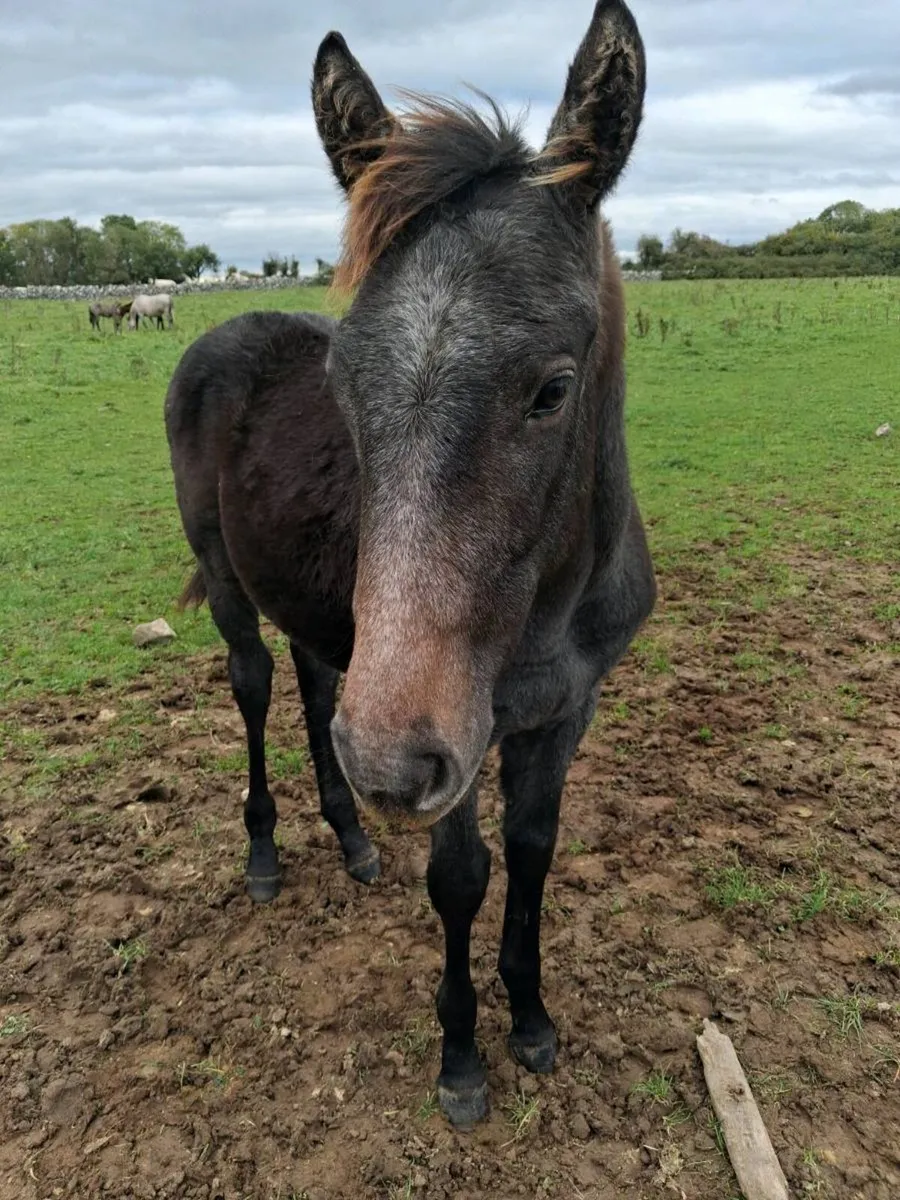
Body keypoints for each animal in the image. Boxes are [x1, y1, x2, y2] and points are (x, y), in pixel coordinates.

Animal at [164, 0, 655, 1127]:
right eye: (344, 381)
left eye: (552, 389)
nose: (392, 766)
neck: (549, 609)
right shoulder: (460, 730)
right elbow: (464, 875)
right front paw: (462, 1058)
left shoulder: (562, 709)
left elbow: (534, 849)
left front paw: (532, 1019)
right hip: (230, 583)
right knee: (254, 684)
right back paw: (267, 853)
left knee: (313, 690)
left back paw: (351, 840)